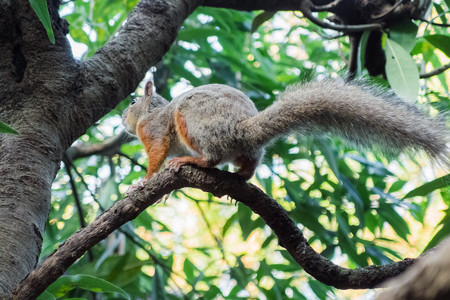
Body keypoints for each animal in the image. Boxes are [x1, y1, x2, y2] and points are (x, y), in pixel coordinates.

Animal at [121, 77, 448, 185]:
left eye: (133, 101)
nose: (121, 118)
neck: (150, 113)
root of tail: (243, 129)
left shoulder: (154, 132)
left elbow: (156, 156)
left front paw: (143, 181)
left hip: (193, 119)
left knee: (212, 157)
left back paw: (192, 160)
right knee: (249, 165)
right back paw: (241, 174)